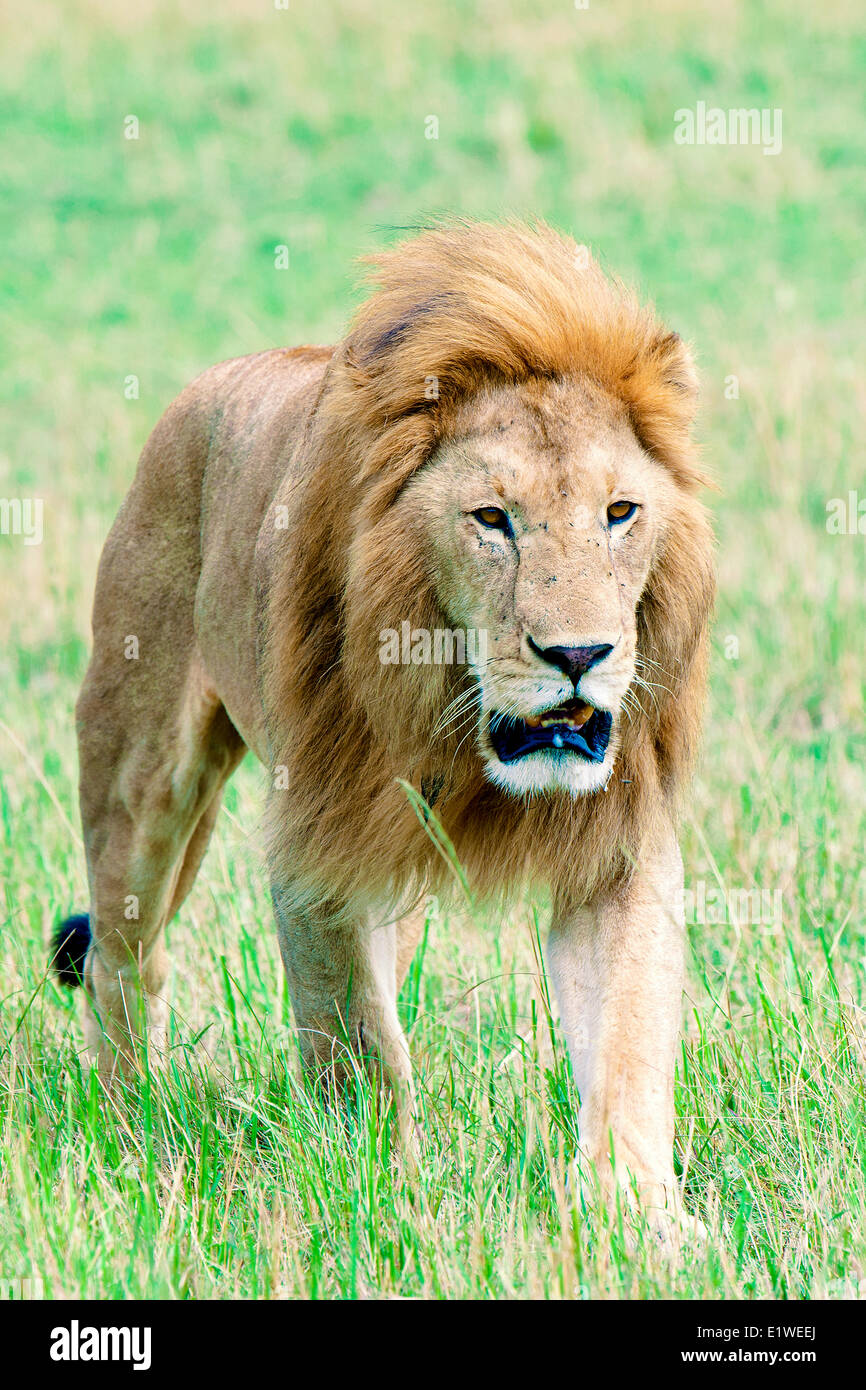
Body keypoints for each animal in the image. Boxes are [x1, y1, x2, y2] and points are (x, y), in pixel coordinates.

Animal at [54, 220, 714, 1227]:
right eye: (492, 518)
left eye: (620, 512)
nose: (579, 655)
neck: (460, 722)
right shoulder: (317, 847)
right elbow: (361, 1045)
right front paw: (390, 1200)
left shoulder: (618, 842)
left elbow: (629, 1043)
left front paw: (640, 1219)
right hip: (140, 771)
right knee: (123, 959)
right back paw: (129, 1134)